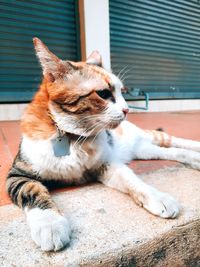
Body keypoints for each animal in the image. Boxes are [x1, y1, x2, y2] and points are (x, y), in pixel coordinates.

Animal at [7, 37, 200, 253]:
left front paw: (158, 197)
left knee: (174, 140)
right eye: (103, 93)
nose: (127, 109)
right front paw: (49, 223)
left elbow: (133, 181)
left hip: (149, 138)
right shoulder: (18, 175)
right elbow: (32, 192)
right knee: (174, 152)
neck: (73, 137)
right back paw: (195, 160)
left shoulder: (106, 164)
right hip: (145, 151)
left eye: (122, 92)